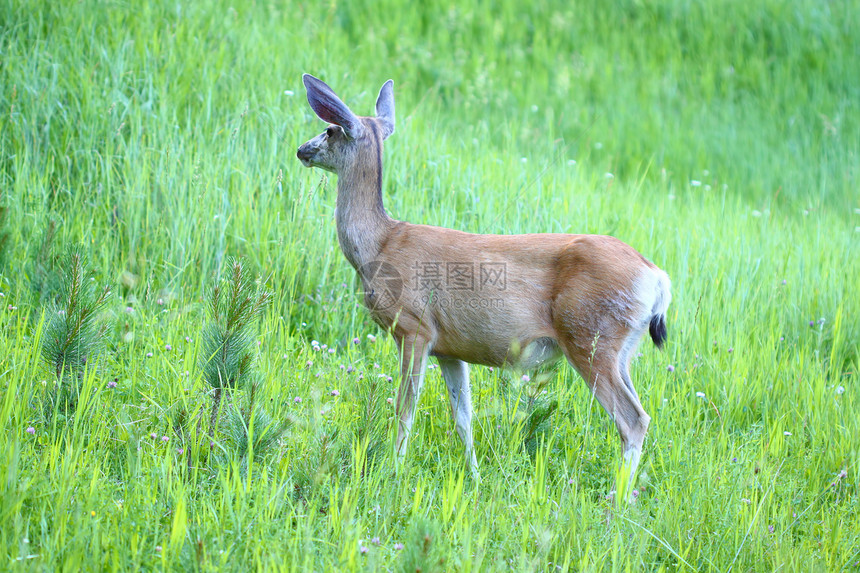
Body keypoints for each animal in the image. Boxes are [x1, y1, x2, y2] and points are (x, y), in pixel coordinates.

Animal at [296, 75, 672, 496]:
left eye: (330, 129)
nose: (301, 150)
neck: (378, 245)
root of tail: (656, 277)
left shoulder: (413, 327)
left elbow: (405, 409)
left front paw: (393, 470)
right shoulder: (450, 347)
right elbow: (464, 417)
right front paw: (473, 478)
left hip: (589, 336)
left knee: (633, 419)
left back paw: (616, 499)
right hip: (621, 348)